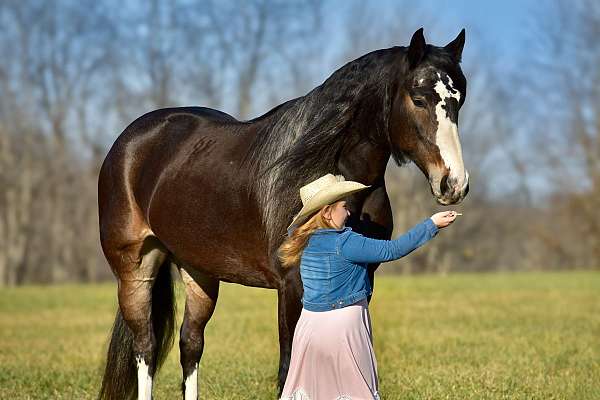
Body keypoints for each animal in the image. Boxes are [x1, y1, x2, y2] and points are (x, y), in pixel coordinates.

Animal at [97, 28, 468, 400]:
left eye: (459, 100)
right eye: (418, 99)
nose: (454, 184)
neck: (326, 167)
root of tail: (129, 141)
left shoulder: (365, 276)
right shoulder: (292, 285)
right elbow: (289, 366)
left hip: (198, 270)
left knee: (190, 344)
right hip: (135, 270)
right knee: (145, 347)